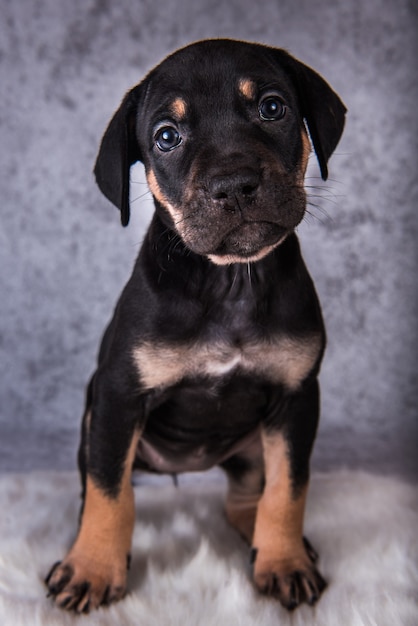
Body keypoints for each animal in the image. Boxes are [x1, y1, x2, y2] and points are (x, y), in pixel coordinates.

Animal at [45, 37, 346, 608]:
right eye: (167, 137)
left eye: (272, 107)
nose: (234, 185)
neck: (230, 282)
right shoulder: (118, 397)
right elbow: (109, 493)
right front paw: (92, 568)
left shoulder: (298, 397)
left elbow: (288, 490)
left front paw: (285, 561)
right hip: (98, 427)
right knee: (99, 487)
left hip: (254, 445)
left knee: (249, 495)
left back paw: (267, 541)